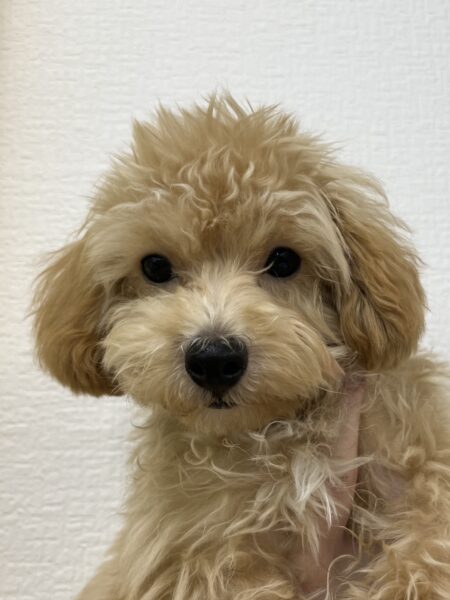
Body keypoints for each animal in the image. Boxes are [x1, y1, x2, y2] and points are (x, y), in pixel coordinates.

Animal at [33, 96, 450, 599]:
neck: (277, 433)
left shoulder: (418, 454)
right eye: (155, 267)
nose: (214, 359)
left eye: (284, 260)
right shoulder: (194, 551)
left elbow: (427, 547)